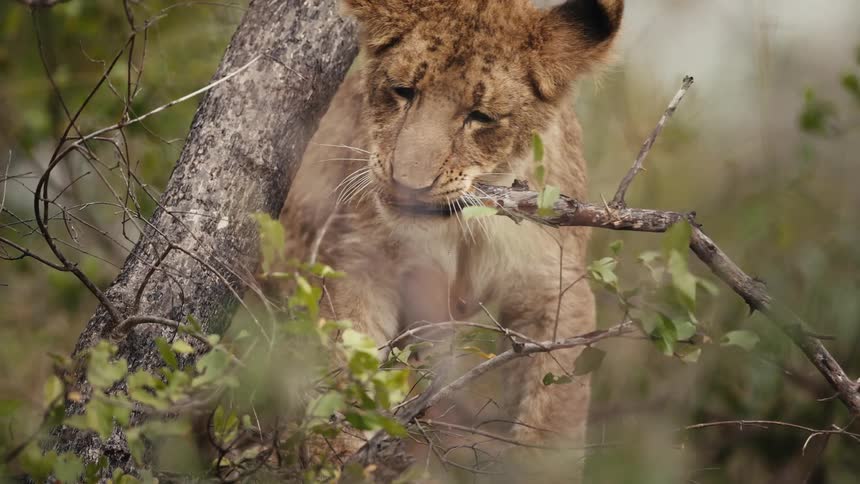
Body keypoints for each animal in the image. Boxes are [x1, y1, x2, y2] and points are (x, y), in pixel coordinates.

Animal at [281, 0, 624, 475]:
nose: (407, 184)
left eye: (480, 117)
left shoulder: (555, 288)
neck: (466, 225)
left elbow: (554, 413)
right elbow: (345, 362)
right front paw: (337, 458)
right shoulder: (360, 261)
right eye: (403, 91)